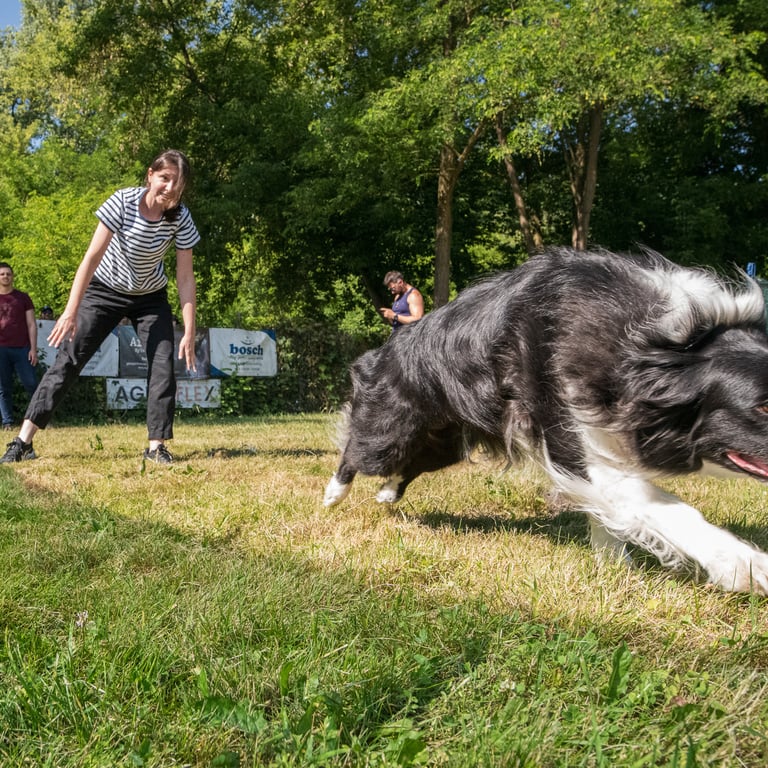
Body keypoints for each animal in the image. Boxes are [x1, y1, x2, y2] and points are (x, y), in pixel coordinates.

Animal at [324, 247, 768, 594]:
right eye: (762, 408)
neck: (650, 347)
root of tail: (381, 353)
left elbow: (613, 510)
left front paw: (612, 561)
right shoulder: (571, 440)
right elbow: (663, 506)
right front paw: (743, 564)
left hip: (445, 441)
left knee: (411, 466)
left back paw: (387, 493)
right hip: (389, 432)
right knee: (356, 451)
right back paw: (333, 495)